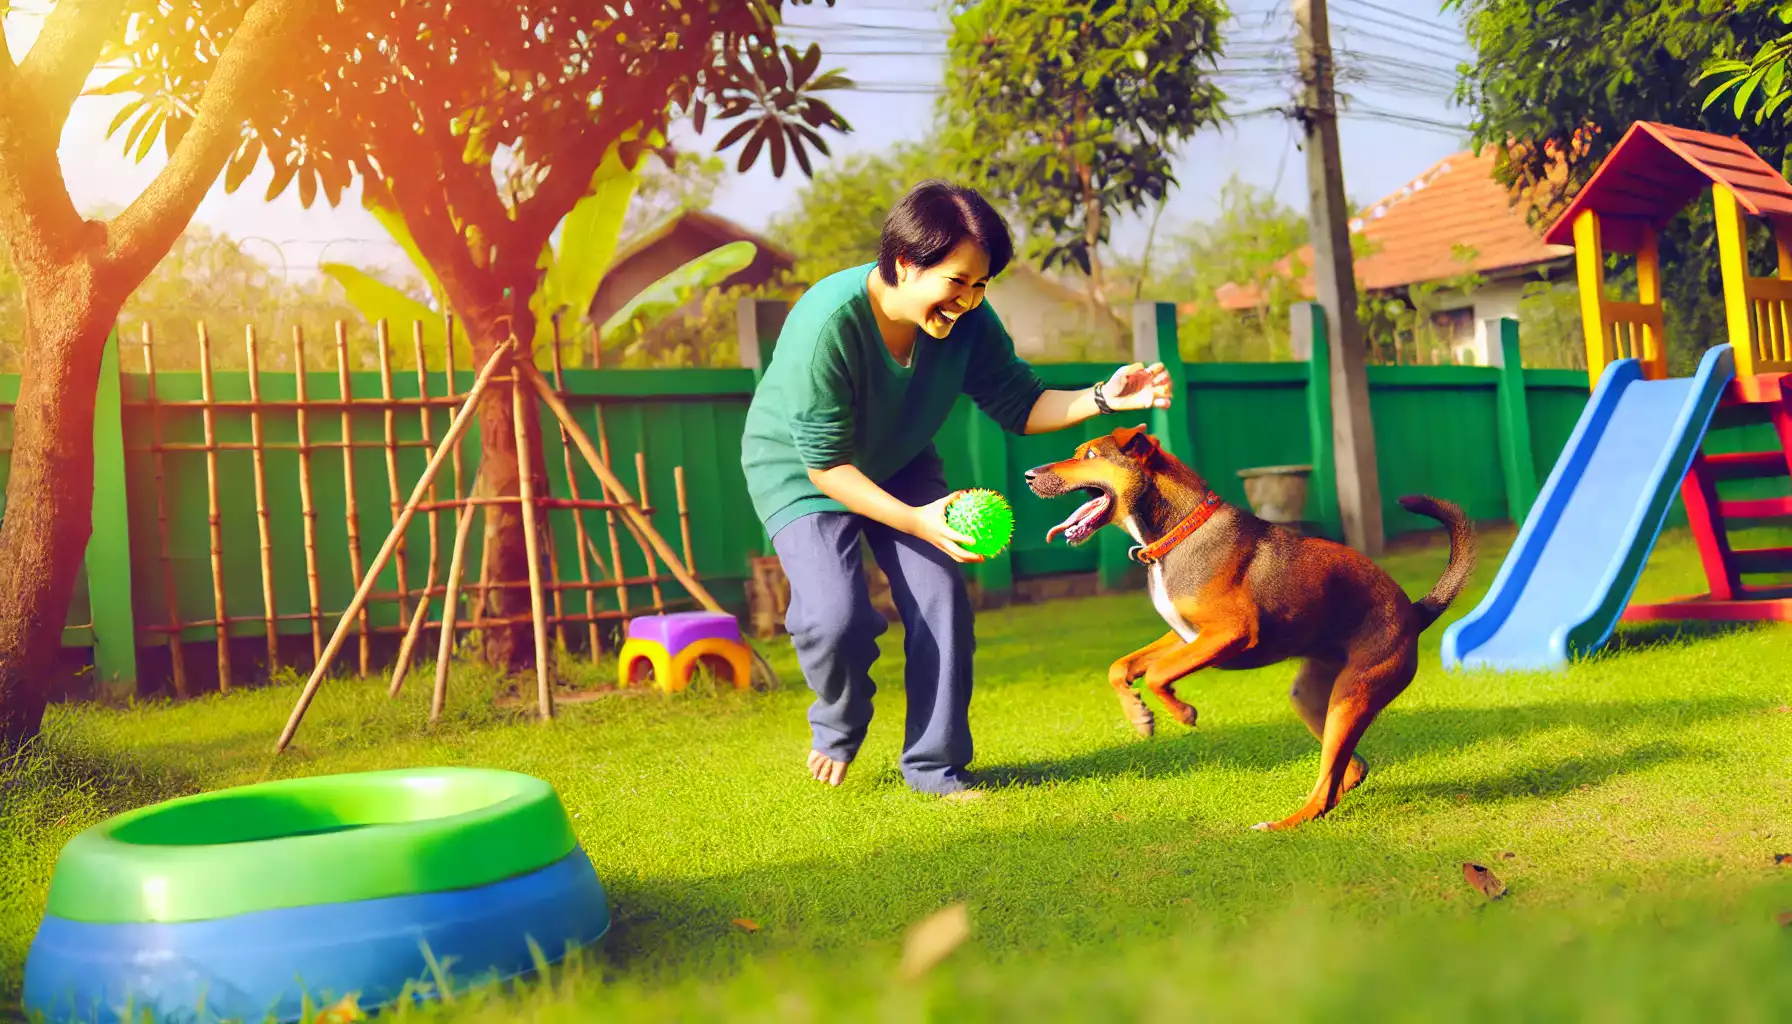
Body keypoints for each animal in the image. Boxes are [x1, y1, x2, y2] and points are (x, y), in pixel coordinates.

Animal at [1025, 425, 1469, 832]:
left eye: (1089, 455)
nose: (1029, 475)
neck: (1178, 532)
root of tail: (1415, 613)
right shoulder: (1185, 636)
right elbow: (1122, 666)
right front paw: (1139, 716)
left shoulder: (1231, 634)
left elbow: (1156, 673)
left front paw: (1182, 712)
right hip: (1314, 699)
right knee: (1350, 770)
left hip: (1352, 696)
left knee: (1327, 788)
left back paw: (1283, 824)